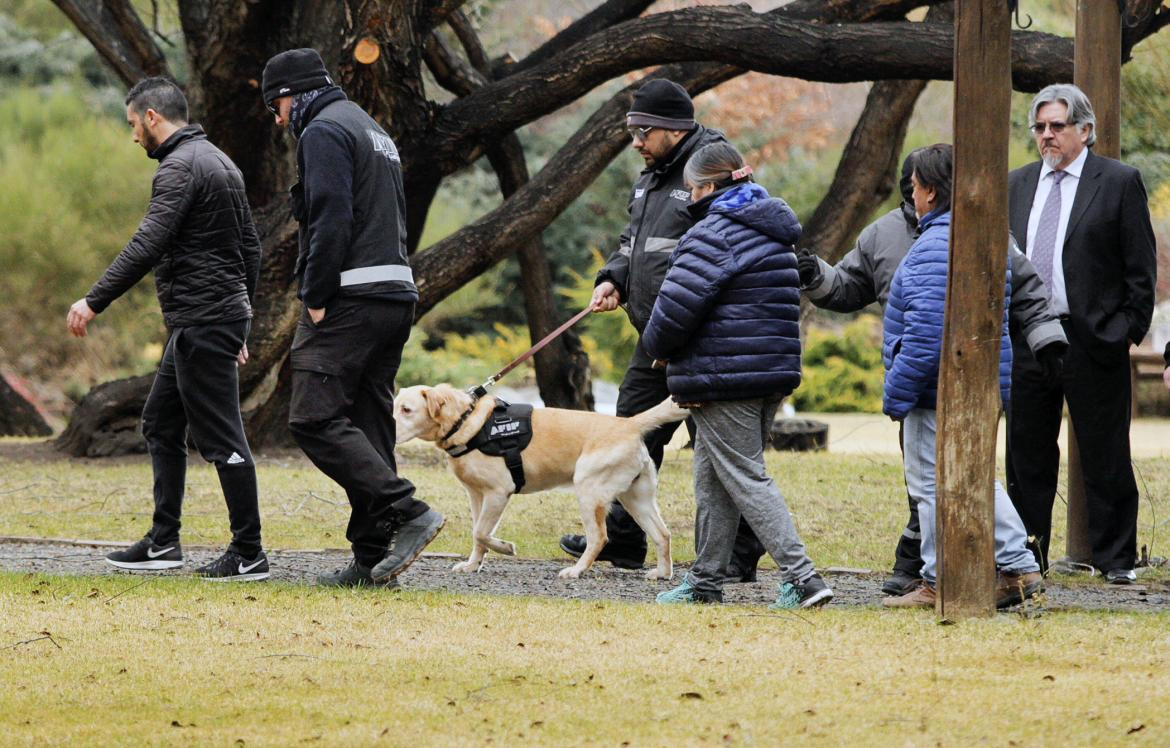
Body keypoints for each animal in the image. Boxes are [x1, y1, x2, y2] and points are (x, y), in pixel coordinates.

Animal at [393, 386, 683, 580]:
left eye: (406, 410)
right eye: (395, 407)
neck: (466, 423)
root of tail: (629, 425)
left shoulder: (499, 492)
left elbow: (481, 533)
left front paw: (505, 548)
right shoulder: (476, 495)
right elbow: (478, 534)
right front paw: (473, 564)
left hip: (589, 490)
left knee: (599, 537)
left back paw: (576, 570)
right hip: (636, 498)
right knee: (662, 534)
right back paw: (662, 573)